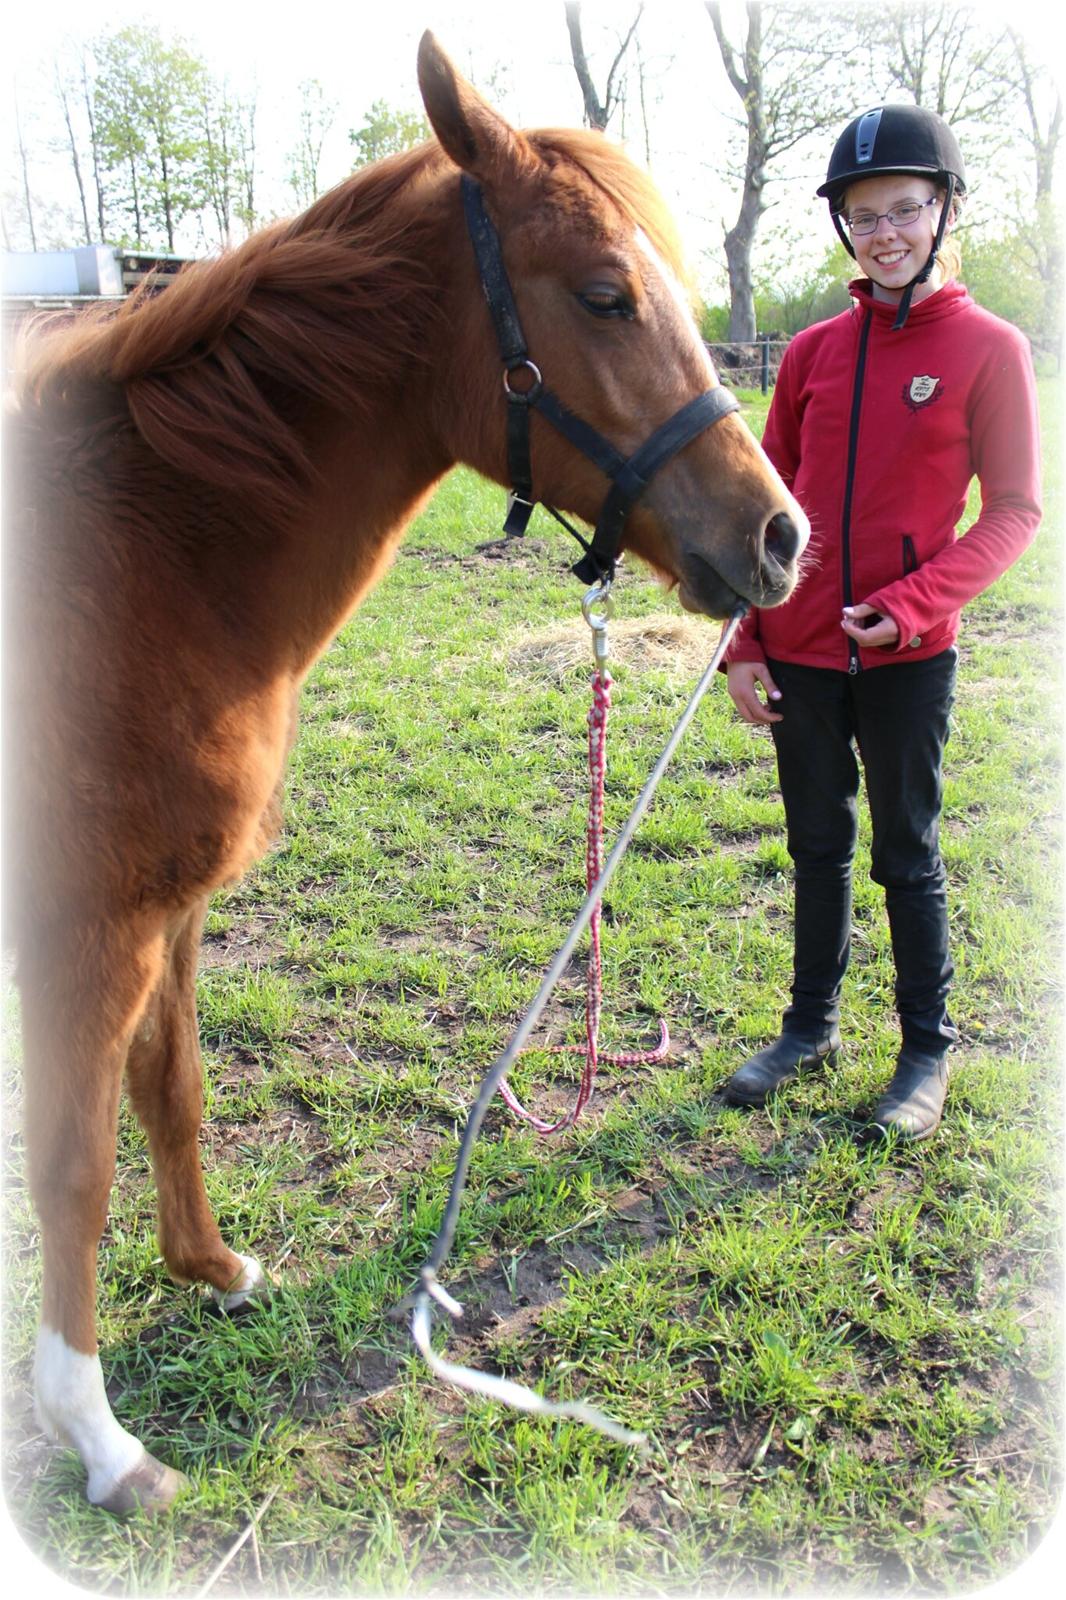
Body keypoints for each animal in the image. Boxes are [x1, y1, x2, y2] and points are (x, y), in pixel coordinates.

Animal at [0, 31, 806, 1516]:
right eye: (604, 294)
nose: (782, 538)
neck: (135, 564)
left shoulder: (170, 912)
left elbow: (173, 1091)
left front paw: (212, 1271)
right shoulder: (90, 926)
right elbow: (74, 1164)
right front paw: (97, 1435)